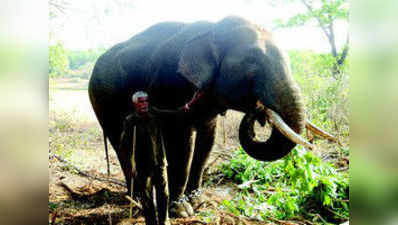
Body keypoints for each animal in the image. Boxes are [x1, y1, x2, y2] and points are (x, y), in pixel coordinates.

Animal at [88, 15, 332, 214]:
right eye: (252, 64)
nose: (259, 110)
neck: (213, 29)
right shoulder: (170, 88)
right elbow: (182, 146)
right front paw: (181, 209)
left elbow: (207, 142)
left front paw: (196, 201)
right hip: (101, 100)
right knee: (122, 145)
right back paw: (136, 199)